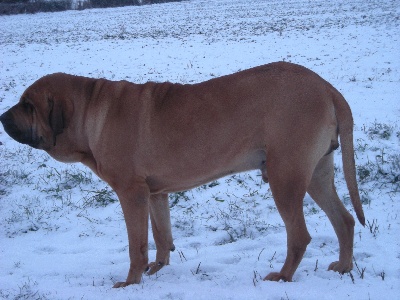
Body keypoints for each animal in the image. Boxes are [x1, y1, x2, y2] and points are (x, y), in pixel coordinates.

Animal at [0, 61, 364, 288]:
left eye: (28, 106)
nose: (2, 117)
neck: (91, 112)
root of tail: (326, 87)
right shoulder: (155, 192)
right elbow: (162, 235)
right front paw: (158, 268)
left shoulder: (131, 193)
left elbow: (136, 245)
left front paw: (130, 282)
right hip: (317, 174)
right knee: (344, 220)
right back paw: (344, 266)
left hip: (285, 177)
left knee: (300, 235)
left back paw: (283, 277)